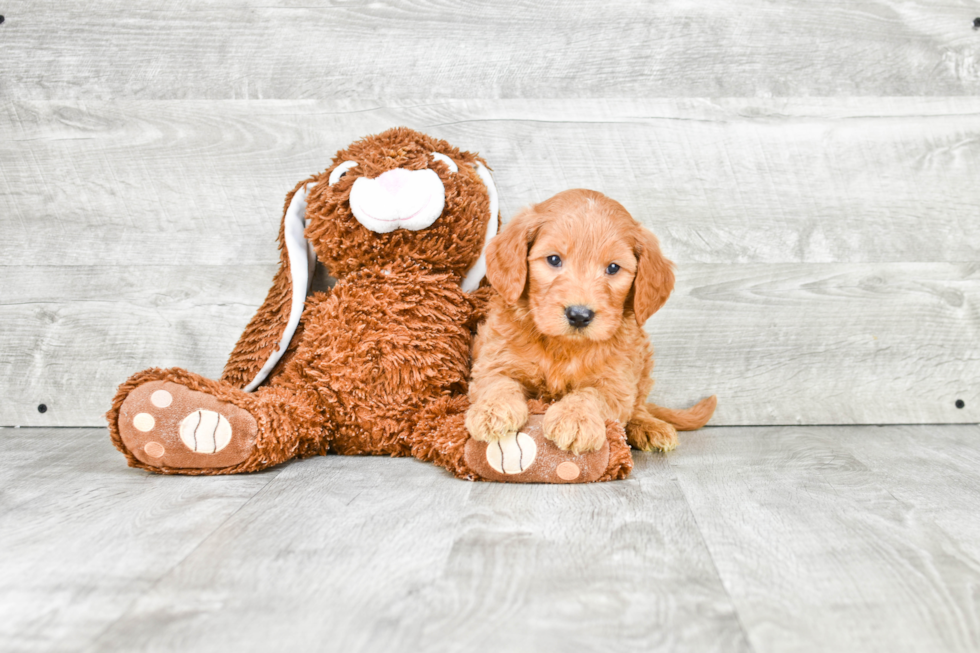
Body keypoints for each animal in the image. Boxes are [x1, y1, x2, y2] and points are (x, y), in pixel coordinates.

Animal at [464, 187, 716, 454]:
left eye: (613, 267)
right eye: (554, 259)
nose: (579, 315)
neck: (562, 347)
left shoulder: (616, 383)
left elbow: (591, 394)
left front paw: (575, 418)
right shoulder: (495, 359)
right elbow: (497, 383)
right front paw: (492, 410)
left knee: (638, 405)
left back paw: (648, 425)